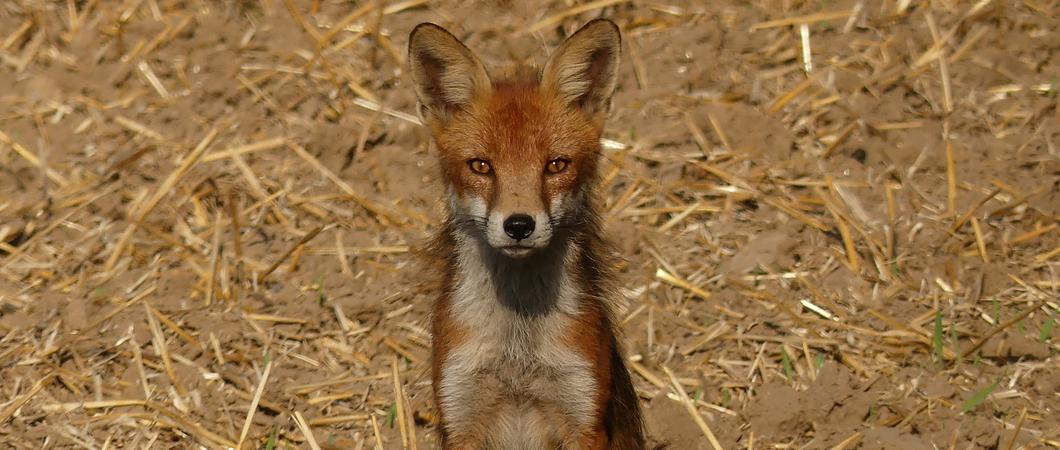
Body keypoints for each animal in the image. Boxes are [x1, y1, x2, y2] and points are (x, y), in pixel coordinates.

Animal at [404, 19, 644, 446]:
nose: (518, 225)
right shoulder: (460, 414)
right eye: (481, 166)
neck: (518, 346)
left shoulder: (583, 415)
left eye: (556, 165)